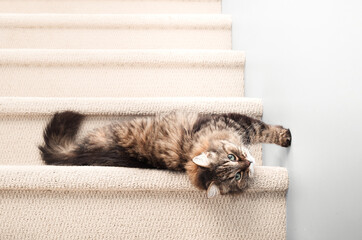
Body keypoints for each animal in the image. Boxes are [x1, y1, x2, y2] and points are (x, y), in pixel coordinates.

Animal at [39, 110, 292, 197]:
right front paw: (285, 136)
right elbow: (265, 129)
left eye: (232, 157)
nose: (248, 162)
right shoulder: (238, 122)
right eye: (238, 175)